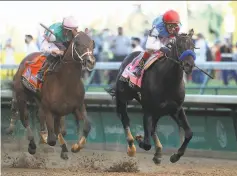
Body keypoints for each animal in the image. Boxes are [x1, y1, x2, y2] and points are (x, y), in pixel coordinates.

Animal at [10, 31, 95, 160]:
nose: (91, 61)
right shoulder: (49, 109)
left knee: (44, 118)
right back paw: (32, 145)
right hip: (21, 96)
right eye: (77, 43)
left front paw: (75, 147)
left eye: (92, 43)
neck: (66, 82)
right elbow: (52, 139)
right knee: (25, 119)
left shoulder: (78, 106)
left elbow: (86, 126)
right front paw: (48, 141)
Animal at [105, 29, 196, 164]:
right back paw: (132, 147)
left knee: (153, 128)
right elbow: (147, 143)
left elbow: (189, 133)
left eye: (193, 46)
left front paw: (176, 155)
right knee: (125, 118)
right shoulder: (148, 109)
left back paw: (158, 152)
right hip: (123, 96)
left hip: (158, 111)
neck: (168, 81)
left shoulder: (176, 109)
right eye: (180, 46)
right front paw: (139, 138)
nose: (189, 65)